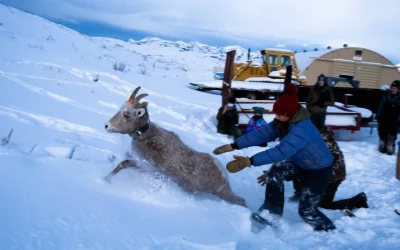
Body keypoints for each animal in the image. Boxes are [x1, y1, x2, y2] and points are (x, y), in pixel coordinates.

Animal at [104, 87, 245, 206]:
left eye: (126, 114)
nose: (106, 126)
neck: (148, 137)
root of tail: (224, 174)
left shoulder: (148, 168)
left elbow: (124, 163)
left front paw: (106, 179)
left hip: (223, 193)